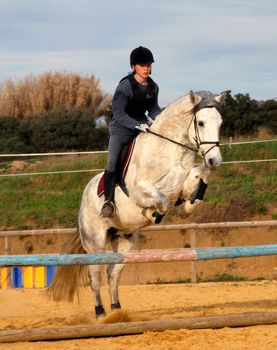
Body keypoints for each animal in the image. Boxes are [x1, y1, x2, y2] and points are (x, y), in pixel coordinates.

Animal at [48, 89, 226, 318]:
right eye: (201, 123)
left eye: (220, 123)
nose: (215, 161)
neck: (170, 150)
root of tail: (84, 198)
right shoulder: (140, 190)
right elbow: (163, 200)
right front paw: (154, 214)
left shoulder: (184, 179)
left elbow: (195, 183)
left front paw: (190, 201)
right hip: (95, 242)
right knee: (94, 275)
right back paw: (100, 312)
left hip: (124, 243)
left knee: (113, 273)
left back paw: (117, 310)